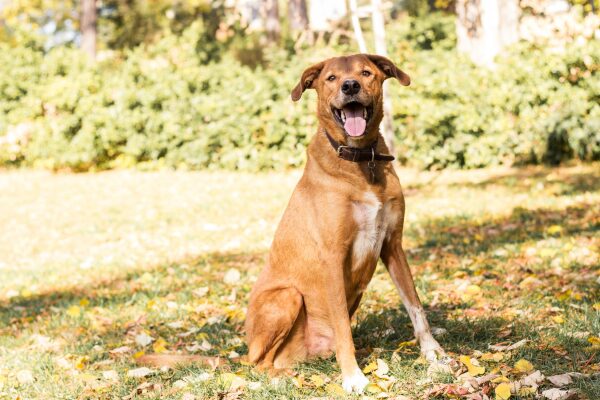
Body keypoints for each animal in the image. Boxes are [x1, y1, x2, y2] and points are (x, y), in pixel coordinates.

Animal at [244, 54, 446, 396]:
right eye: (331, 78)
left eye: (365, 73)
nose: (349, 86)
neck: (361, 160)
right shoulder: (332, 257)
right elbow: (341, 324)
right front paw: (353, 377)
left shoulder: (392, 245)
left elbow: (416, 306)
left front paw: (433, 354)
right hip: (286, 297)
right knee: (257, 362)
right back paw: (283, 375)